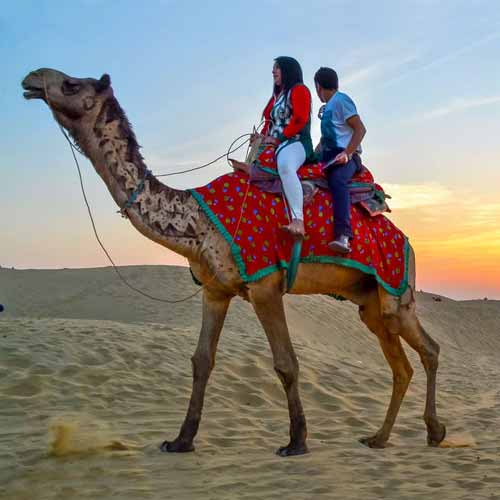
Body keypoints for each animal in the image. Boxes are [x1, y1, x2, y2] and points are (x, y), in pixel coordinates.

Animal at [21, 68, 448, 456]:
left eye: (71, 84)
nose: (31, 78)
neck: (197, 220)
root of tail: (406, 240)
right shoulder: (215, 290)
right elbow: (201, 360)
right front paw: (181, 440)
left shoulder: (264, 284)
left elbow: (286, 363)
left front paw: (296, 442)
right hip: (369, 301)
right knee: (402, 365)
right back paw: (380, 438)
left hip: (396, 290)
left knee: (428, 349)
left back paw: (434, 431)